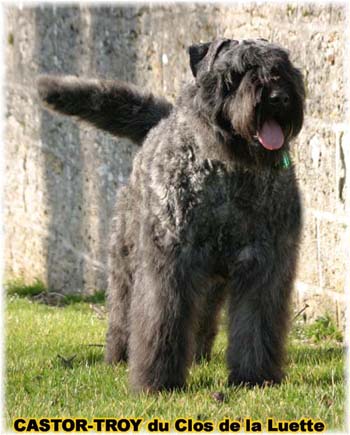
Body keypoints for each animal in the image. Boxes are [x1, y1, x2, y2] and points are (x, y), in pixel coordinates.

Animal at [38, 38, 304, 392]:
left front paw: (254, 377)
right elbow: (162, 320)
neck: (229, 169)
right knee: (123, 311)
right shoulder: (171, 262)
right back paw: (119, 355)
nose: (279, 96)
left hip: (210, 278)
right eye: (238, 72)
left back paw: (198, 354)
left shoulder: (263, 264)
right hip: (127, 261)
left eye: (284, 67)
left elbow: (256, 323)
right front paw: (157, 382)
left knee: (203, 315)